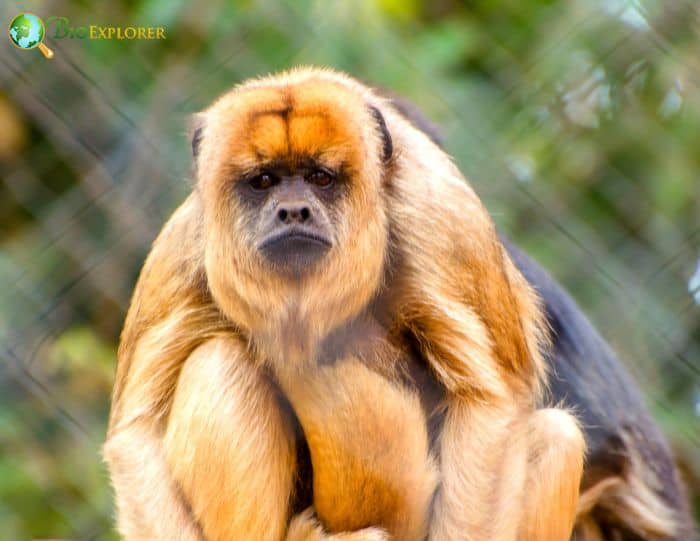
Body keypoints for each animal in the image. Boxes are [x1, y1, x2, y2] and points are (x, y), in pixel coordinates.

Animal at [104, 68, 584, 540]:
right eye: (263, 181)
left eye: (321, 178)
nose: (293, 211)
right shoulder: (185, 246)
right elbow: (134, 436)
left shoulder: (440, 220)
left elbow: (490, 403)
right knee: (220, 361)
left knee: (556, 436)